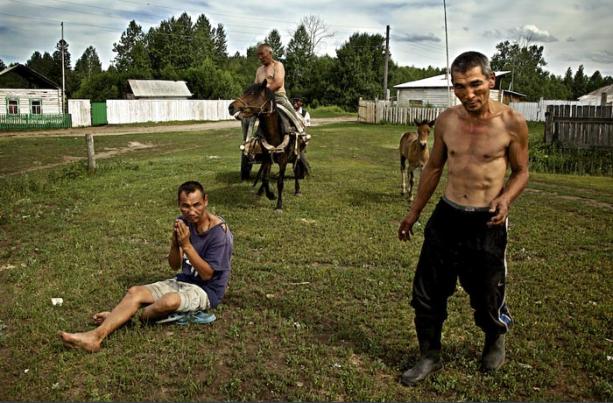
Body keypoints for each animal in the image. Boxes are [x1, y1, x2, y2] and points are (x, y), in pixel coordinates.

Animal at [227, 79, 308, 211]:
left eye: (253, 93)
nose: (231, 107)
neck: (274, 132)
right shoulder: (266, 157)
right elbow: (265, 178)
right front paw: (270, 195)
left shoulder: (283, 160)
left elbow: (280, 182)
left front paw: (279, 205)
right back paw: (261, 191)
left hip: (297, 153)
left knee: (296, 170)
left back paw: (297, 190)